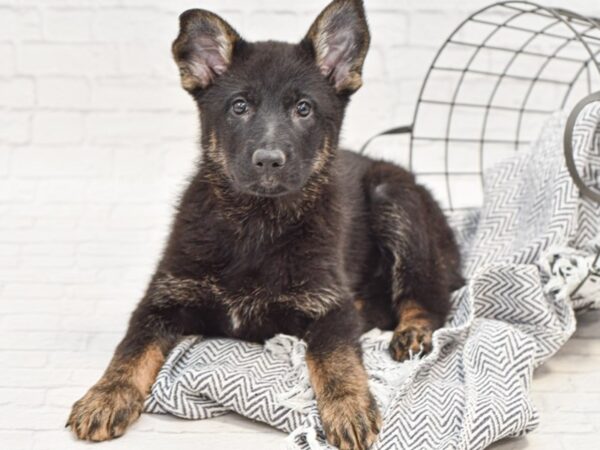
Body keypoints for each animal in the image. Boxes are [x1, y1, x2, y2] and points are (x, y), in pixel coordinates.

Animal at [67, 1, 460, 448]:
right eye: (239, 107)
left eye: (303, 109)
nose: (269, 160)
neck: (256, 222)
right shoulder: (160, 299)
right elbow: (131, 348)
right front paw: (106, 395)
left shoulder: (331, 306)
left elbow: (334, 354)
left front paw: (348, 405)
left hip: (394, 199)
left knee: (429, 296)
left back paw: (412, 331)